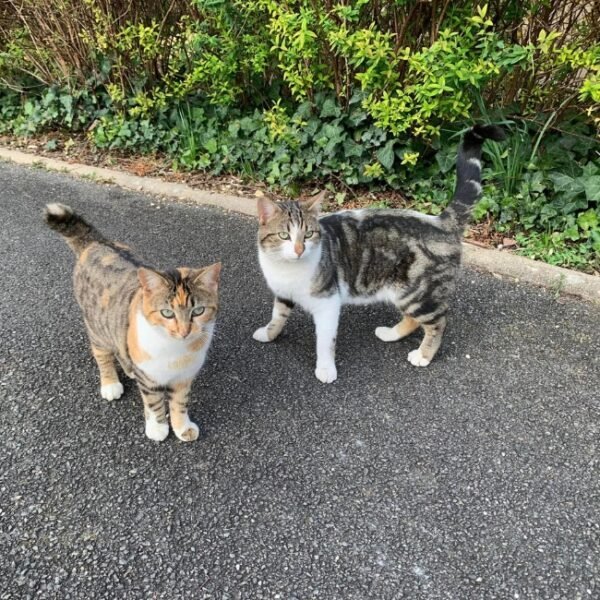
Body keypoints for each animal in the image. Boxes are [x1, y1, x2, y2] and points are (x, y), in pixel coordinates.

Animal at [45, 204, 220, 442]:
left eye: (198, 311)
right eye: (167, 313)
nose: (184, 331)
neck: (178, 351)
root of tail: (96, 242)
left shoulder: (184, 378)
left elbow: (179, 404)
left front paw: (182, 427)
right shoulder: (150, 380)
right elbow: (154, 404)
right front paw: (157, 428)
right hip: (98, 327)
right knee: (102, 355)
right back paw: (110, 384)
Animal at [251, 123, 504, 382]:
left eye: (309, 234)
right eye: (284, 236)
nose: (299, 249)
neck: (286, 269)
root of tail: (440, 222)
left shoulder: (328, 303)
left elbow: (325, 342)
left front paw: (326, 369)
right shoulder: (283, 293)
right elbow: (277, 316)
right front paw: (269, 333)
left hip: (417, 292)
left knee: (438, 322)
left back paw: (423, 355)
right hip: (406, 292)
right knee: (414, 319)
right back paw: (391, 334)